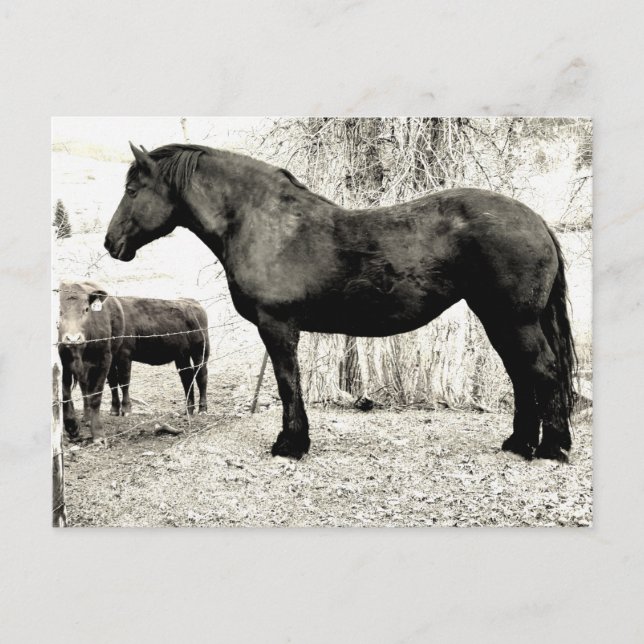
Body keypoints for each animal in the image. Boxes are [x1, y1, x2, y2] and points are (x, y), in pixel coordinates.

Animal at [105, 142, 576, 462]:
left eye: (133, 189)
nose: (111, 243)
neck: (265, 224)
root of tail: (535, 220)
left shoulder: (277, 326)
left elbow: (288, 383)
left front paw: (290, 445)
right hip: (501, 320)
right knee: (522, 376)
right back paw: (519, 443)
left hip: (514, 320)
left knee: (543, 371)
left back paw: (551, 448)